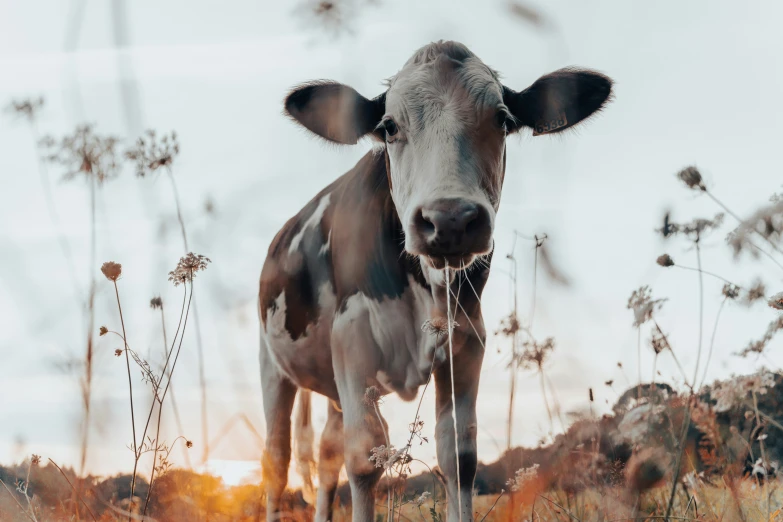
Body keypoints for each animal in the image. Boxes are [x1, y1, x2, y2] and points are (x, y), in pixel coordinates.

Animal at [258, 41, 612, 520]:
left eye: (503, 119)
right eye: (389, 126)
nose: (450, 219)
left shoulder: (466, 341)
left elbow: (458, 456)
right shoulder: (352, 339)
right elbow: (364, 459)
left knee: (327, 455)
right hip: (273, 366)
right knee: (277, 461)